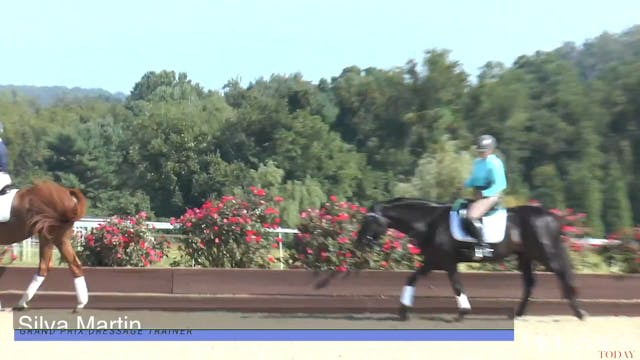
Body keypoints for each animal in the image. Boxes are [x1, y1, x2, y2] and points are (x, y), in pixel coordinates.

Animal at [0, 181, 87, 310]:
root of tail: (67, 192)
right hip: (57, 237)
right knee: (72, 264)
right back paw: (81, 303)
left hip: (50, 234)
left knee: (45, 266)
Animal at [352, 197, 588, 320]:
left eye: (369, 221)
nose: (358, 244)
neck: (429, 222)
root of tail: (552, 217)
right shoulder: (433, 261)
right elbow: (411, 278)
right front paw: (403, 310)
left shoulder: (447, 261)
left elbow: (456, 284)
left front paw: (463, 312)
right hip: (526, 257)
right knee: (530, 283)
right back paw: (519, 313)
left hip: (546, 254)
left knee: (563, 275)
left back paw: (579, 312)